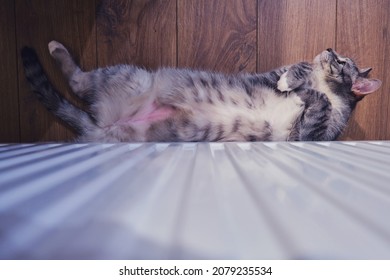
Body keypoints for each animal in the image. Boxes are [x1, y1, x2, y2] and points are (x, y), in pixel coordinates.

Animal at [20, 40, 380, 142]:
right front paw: (292, 82)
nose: (329, 48)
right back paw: (56, 50)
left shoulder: (309, 135)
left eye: (343, 60)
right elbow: (295, 71)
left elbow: (319, 103)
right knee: (79, 80)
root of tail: (103, 125)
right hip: (131, 76)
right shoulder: (274, 72)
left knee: (79, 84)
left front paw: (305, 92)